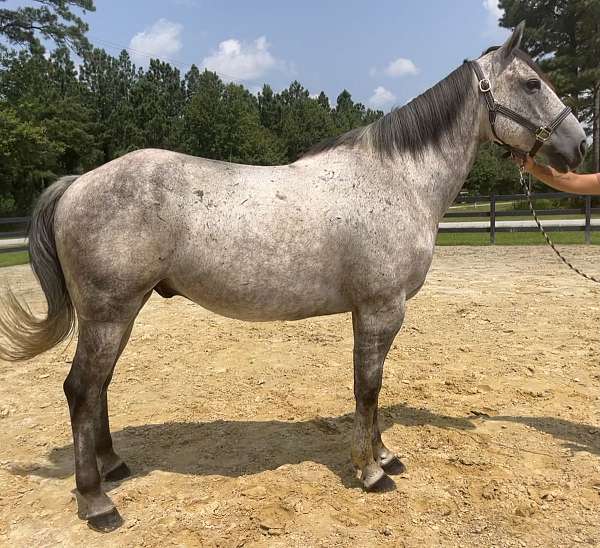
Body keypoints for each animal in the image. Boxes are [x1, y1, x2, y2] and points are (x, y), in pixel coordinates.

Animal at [0, 23, 584, 532]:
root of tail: (79, 183)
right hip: (109, 312)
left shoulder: (376, 312)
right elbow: (367, 387)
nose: (579, 145)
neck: (398, 180)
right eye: (532, 84)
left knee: (98, 388)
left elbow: (373, 388)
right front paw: (370, 471)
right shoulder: (380, 309)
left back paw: (114, 466)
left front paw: (385, 455)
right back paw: (97, 501)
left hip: (120, 313)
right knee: (81, 390)